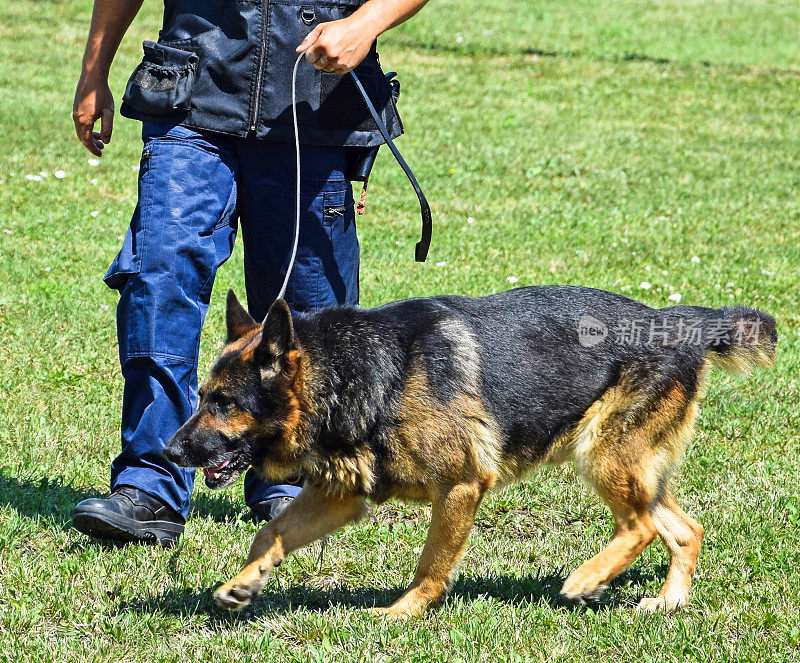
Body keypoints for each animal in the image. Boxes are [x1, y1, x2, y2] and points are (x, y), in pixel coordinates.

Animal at [164, 286, 776, 616]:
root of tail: (679, 321)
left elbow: (431, 564)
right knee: (684, 528)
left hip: (604, 458)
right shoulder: (338, 497)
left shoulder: (459, 487)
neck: (353, 373)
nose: (170, 452)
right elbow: (270, 532)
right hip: (631, 468)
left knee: (642, 527)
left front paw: (403, 612)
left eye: (223, 402)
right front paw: (243, 583)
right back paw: (669, 601)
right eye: (203, 396)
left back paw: (586, 579)